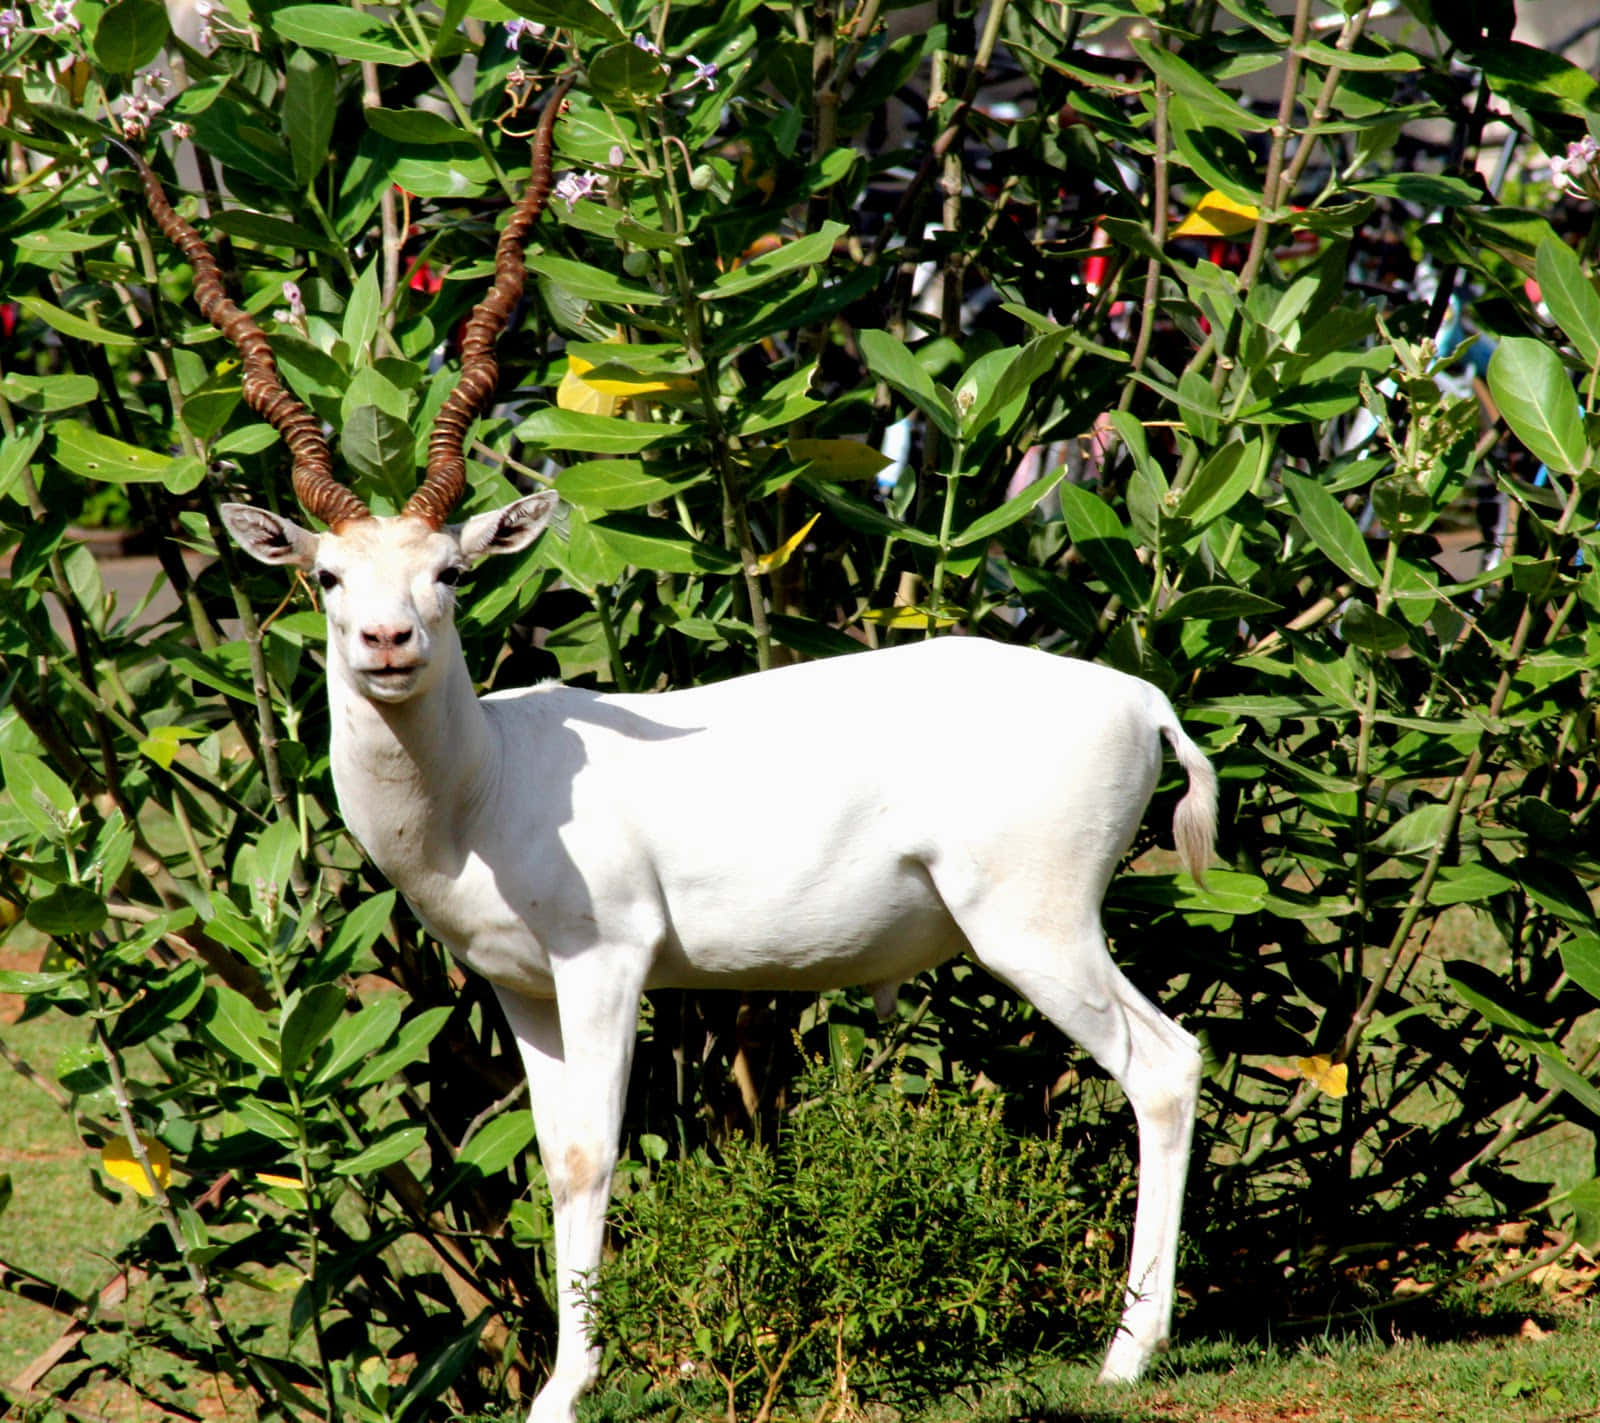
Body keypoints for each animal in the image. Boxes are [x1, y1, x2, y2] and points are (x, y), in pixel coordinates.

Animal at [131, 86, 1216, 1421]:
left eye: (449, 571)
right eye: (329, 575)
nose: (388, 642)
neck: (487, 790)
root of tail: (1139, 693)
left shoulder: (609, 963)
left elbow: (593, 1154)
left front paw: (572, 1385)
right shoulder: (521, 987)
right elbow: (551, 1160)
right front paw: (563, 1379)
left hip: (1035, 925)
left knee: (1164, 1066)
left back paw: (1128, 1351)